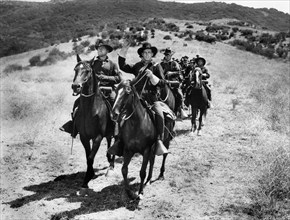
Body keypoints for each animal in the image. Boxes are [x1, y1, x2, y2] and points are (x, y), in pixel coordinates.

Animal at [71, 54, 115, 187]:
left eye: (87, 71)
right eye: (75, 70)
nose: (75, 86)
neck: (90, 110)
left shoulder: (97, 137)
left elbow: (91, 157)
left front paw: (88, 177)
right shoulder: (84, 137)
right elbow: (88, 157)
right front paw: (89, 175)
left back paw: (111, 165)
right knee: (109, 139)